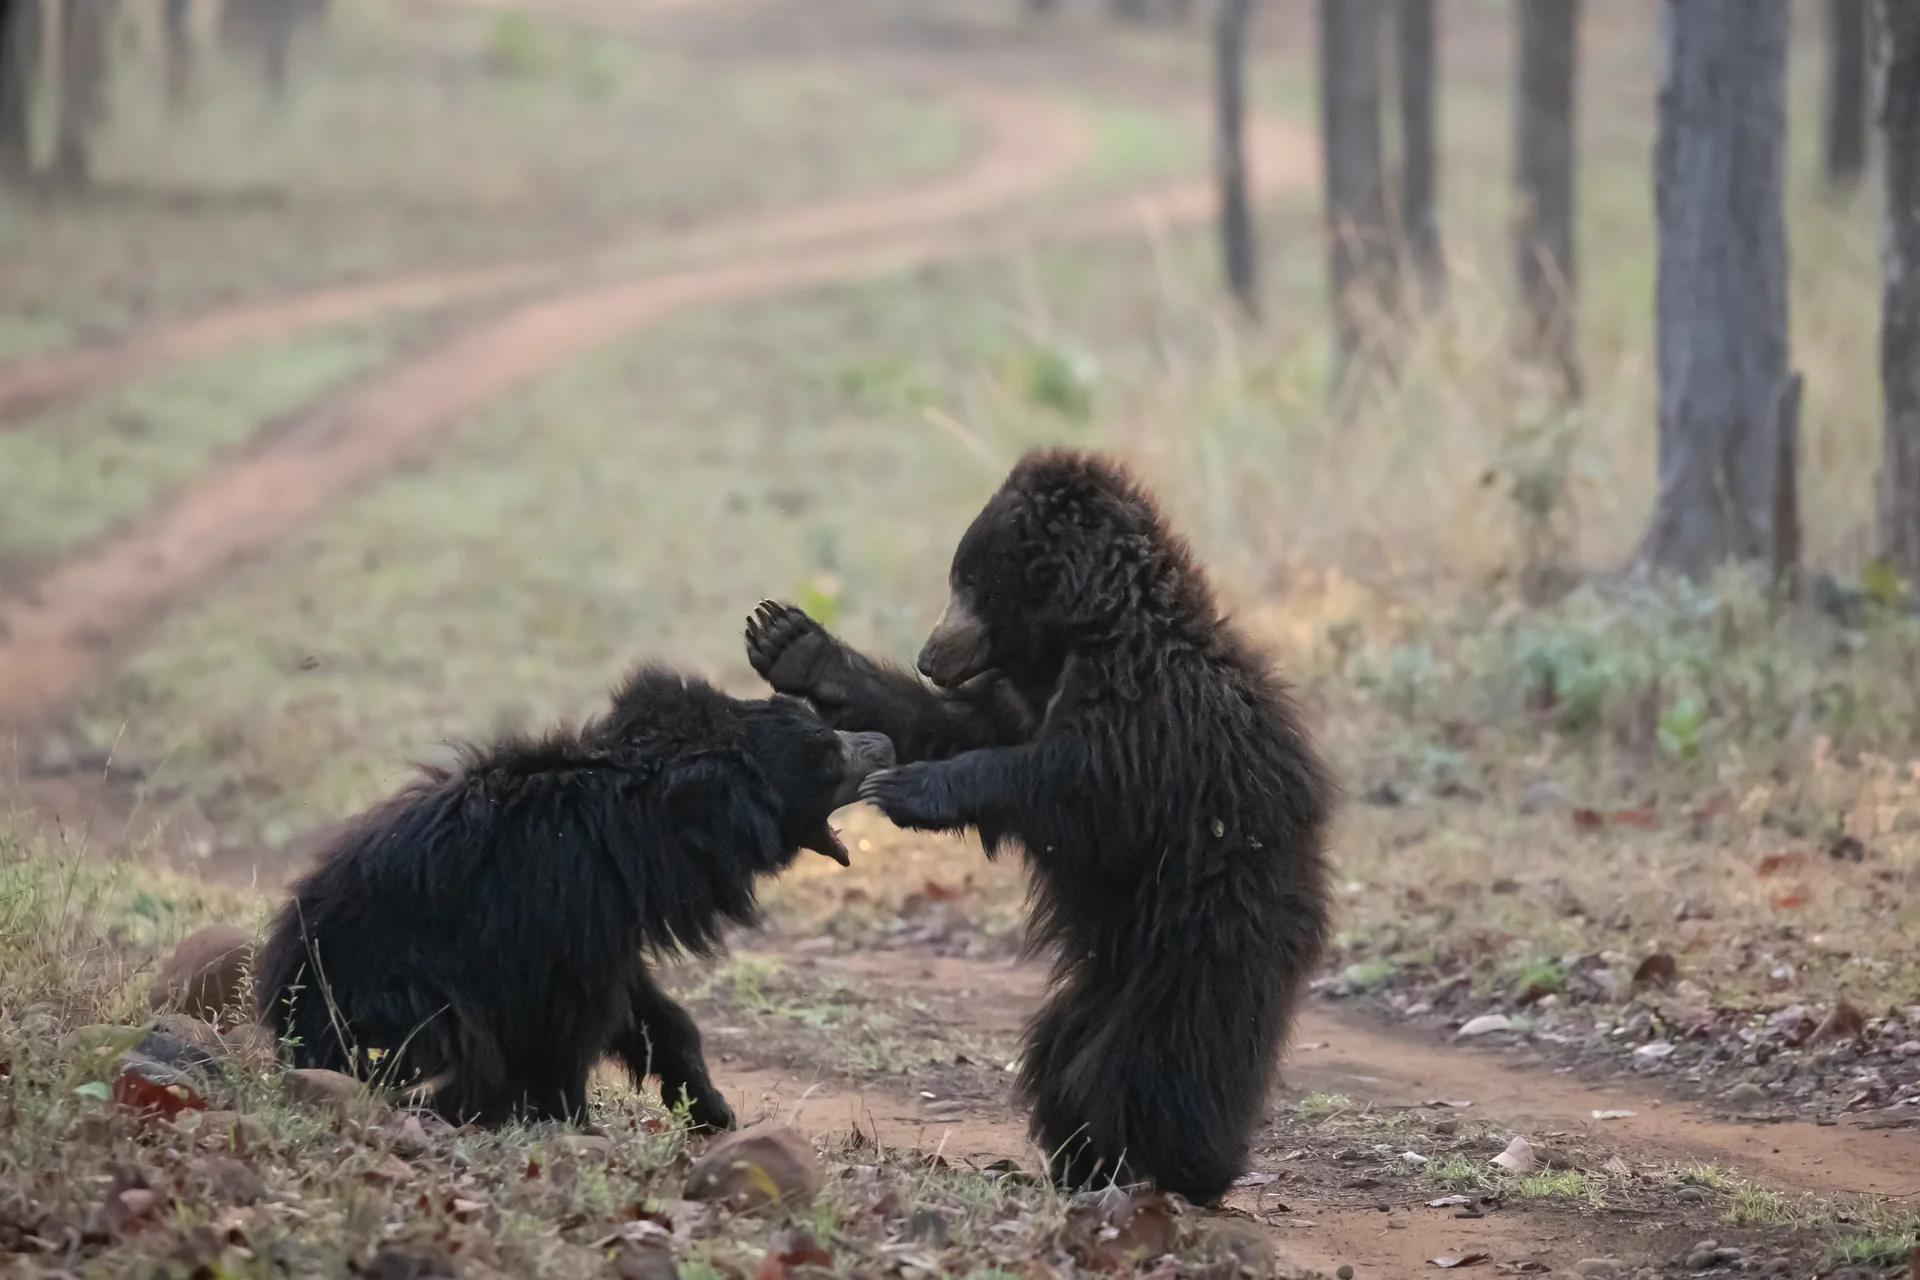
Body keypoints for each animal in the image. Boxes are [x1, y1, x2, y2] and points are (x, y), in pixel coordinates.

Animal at [254, 667, 894, 1129]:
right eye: (825, 750)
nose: (886, 742)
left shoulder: (612, 923)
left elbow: (655, 1015)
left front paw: (711, 1110)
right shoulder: (566, 912)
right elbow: (571, 1026)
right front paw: (571, 1119)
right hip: (393, 994)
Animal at [745, 447, 1335, 1205]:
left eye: (969, 582)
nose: (929, 654)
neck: (1076, 645)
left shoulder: (1153, 719)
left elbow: (1077, 782)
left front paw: (907, 788)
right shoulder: (1019, 698)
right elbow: (954, 724)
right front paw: (790, 642)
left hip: (1213, 916)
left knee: (1171, 1048)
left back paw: (1182, 1165)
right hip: (1109, 961)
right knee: (1064, 1047)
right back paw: (1082, 1154)